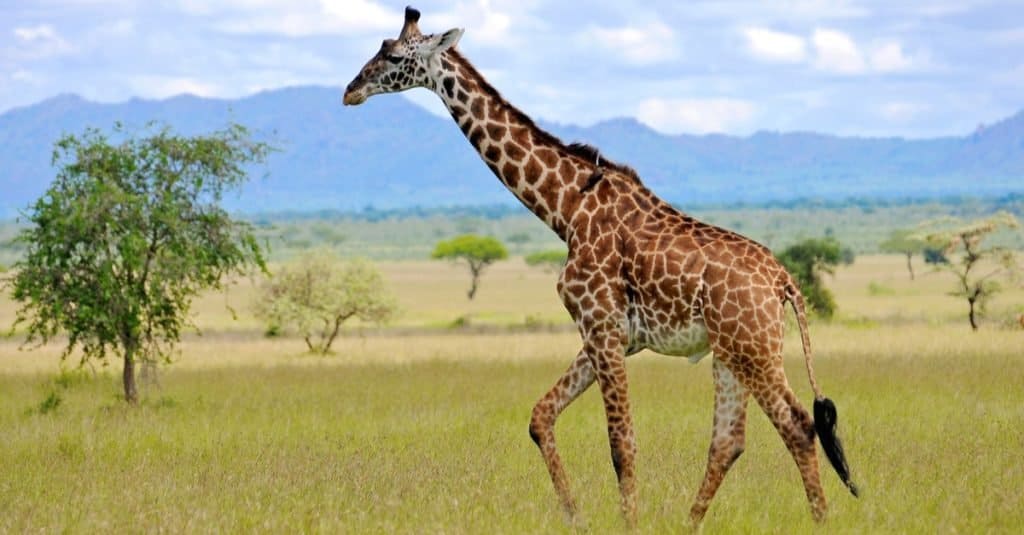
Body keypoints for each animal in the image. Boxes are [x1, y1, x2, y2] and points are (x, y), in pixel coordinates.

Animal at [343, 7, 858, 527]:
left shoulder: (601, 325)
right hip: (730, 352)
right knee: (728, 442)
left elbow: (621, 445)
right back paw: (687, 524)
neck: (565, 208)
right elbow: (540, 417)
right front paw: (575, 517)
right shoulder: (609, 335)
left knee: (797, 425)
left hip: (753, 348)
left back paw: (818, 521)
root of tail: (784, 282)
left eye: (393, 56)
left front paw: (626, 522)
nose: (351, 90)